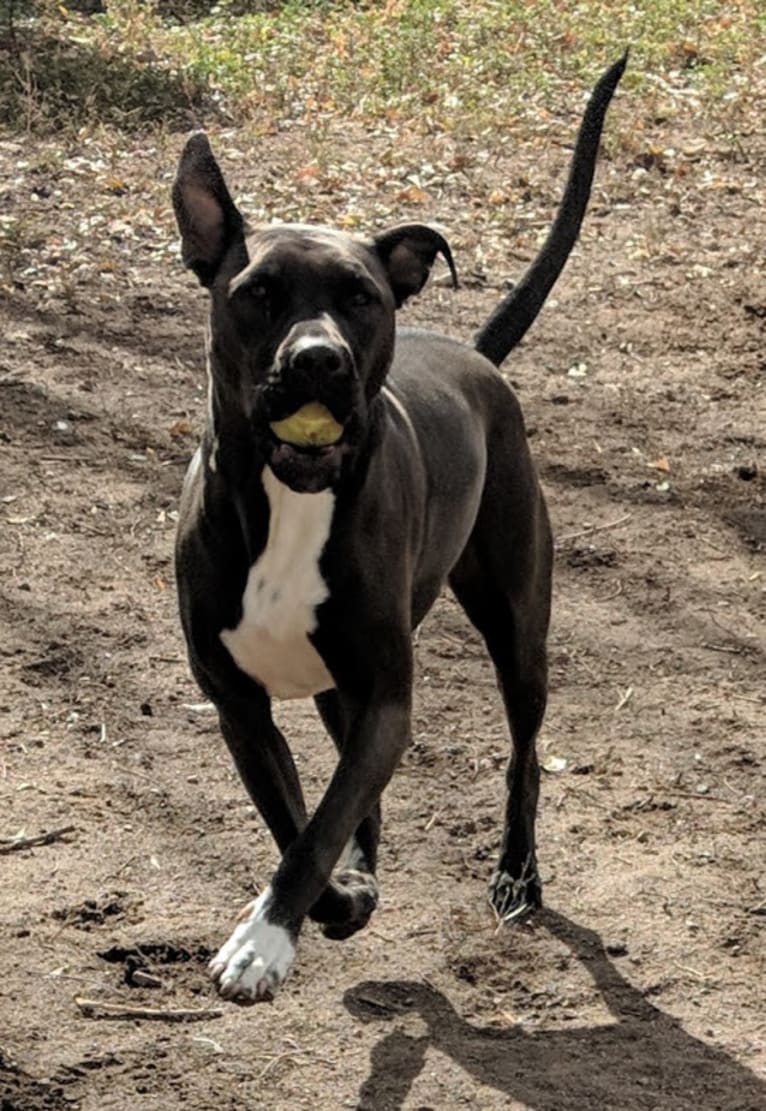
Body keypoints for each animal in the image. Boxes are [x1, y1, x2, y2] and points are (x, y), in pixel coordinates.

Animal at [172, 56, 622, 1004]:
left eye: (361, 298)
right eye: (255, 293)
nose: (318, 359)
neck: (290, 501)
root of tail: (476, 356)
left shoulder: (385, 694)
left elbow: (320, 823)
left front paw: (264, 939)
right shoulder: (242, 707)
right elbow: (300, 820)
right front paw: (336, 900)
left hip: (517, 625)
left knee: (524, 749)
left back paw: (518, 873)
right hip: (342, 688)